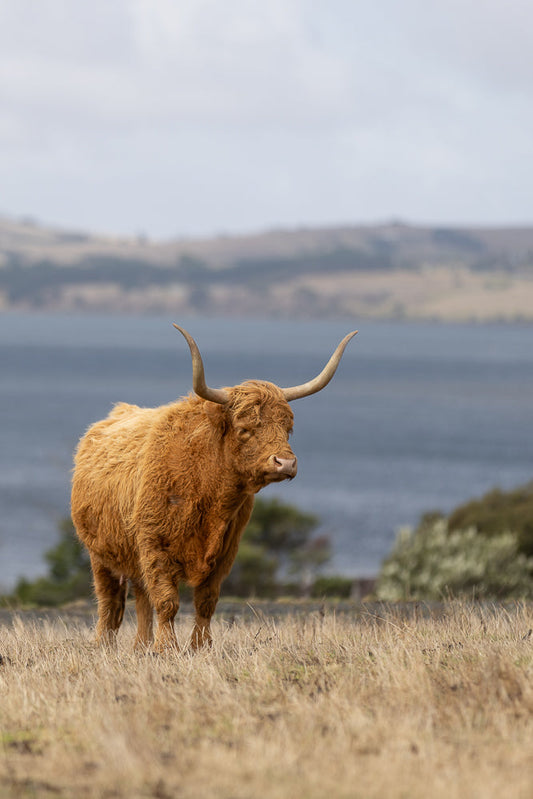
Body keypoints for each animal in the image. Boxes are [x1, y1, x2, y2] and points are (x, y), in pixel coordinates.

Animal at [71, 325, 356, 651]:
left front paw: (200, 646)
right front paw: (167, 648)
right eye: (245, 429)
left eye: (288, 428)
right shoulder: (155, 545)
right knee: (110, 600)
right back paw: (104, 644)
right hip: (100, 553)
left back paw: (141, 646)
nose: (285, 463)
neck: (208, 491)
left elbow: (206, 602)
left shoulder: (224, 552)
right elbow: (167, 602)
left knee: (140, 597)